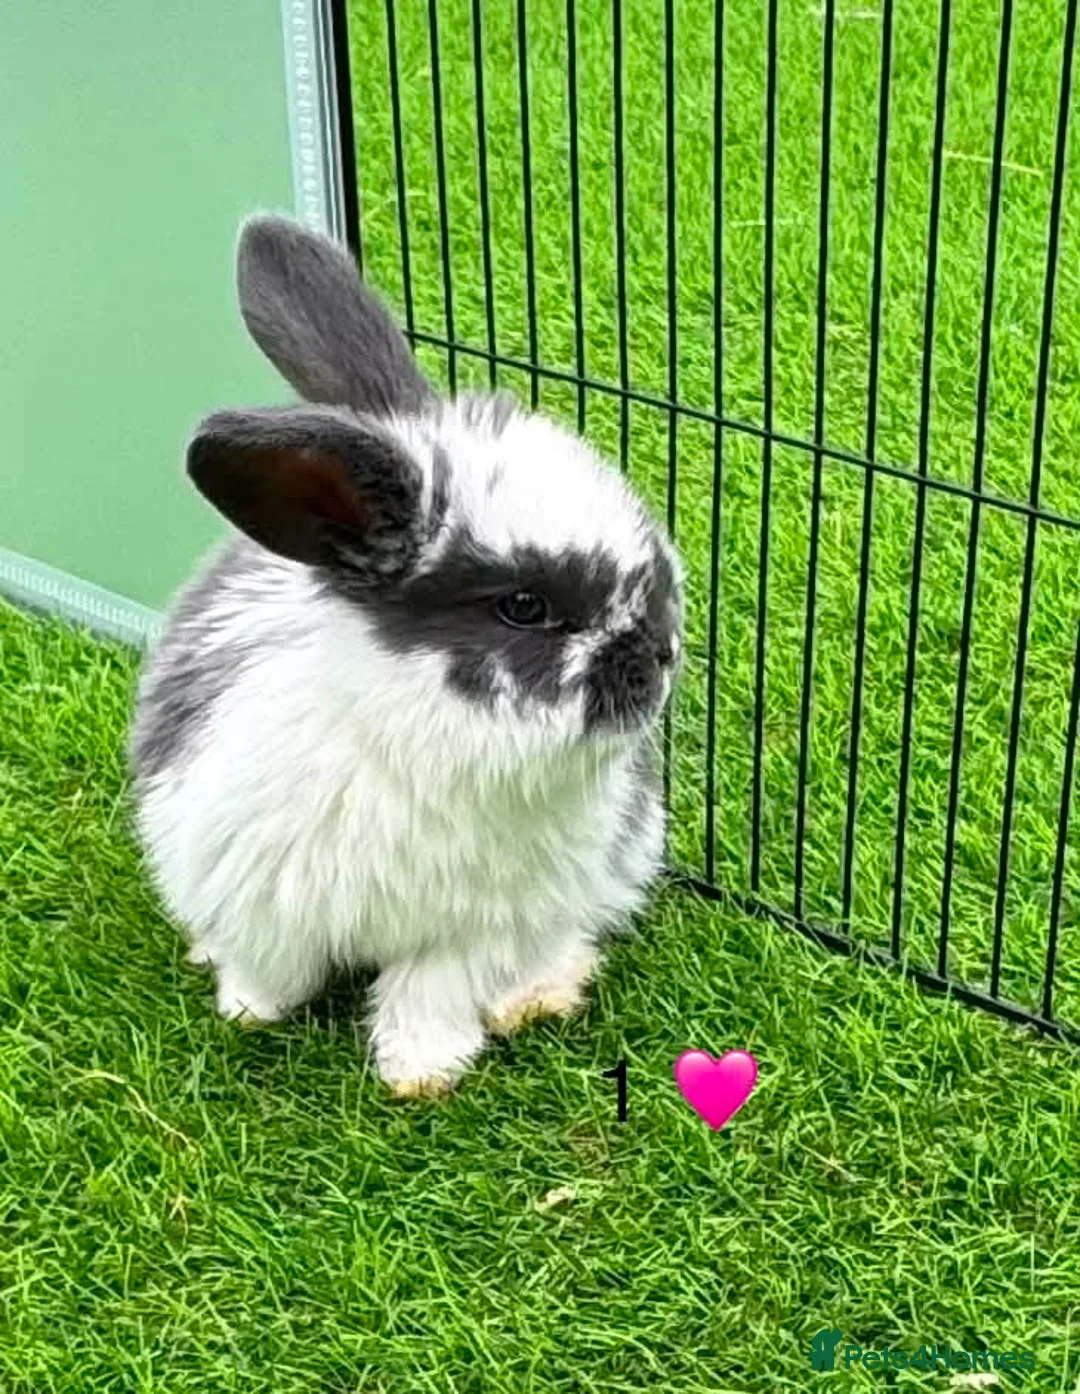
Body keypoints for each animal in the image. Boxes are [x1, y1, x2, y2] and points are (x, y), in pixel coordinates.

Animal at [129, 213, 684, 1097]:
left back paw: (541, 995)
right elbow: (270, 965)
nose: (660, 654)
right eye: (524, 606)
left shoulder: (474, 928)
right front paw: (248, 1011)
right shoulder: (256, 886)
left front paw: (420, 1075)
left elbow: (429, 992)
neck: (420, 740)